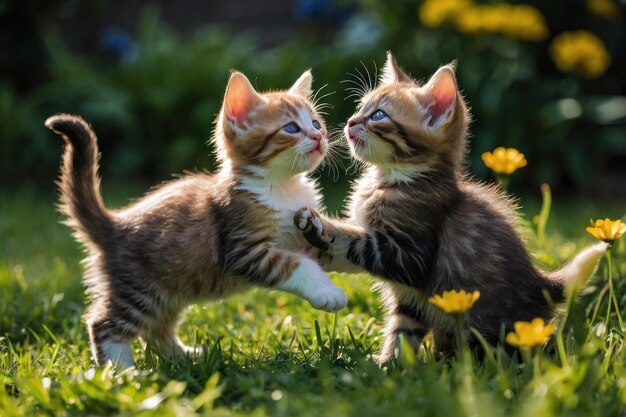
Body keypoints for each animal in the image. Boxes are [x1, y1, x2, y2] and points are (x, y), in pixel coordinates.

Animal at [44, 69, 346, 368]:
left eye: (316, 123)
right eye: (291, 128)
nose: (319, 136)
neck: (282, 188)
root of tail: (115, 223)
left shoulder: (299, 236)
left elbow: (330, 250)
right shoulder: (243, 248)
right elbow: (297, 265)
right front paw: (327, 292)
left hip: (171, 290)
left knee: (157, 331)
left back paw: (185, 357)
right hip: (137, 290)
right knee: (103, 324)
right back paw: (122, 372)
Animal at [296, 52, 604, 360]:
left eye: (378, 115)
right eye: (361, 107)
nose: (350, 122)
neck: (396, 177)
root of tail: (540, 284)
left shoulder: (411, 254)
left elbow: (359, 242)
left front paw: (323, 227)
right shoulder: (410, 290)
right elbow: (401, 331)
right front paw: (388, 364)